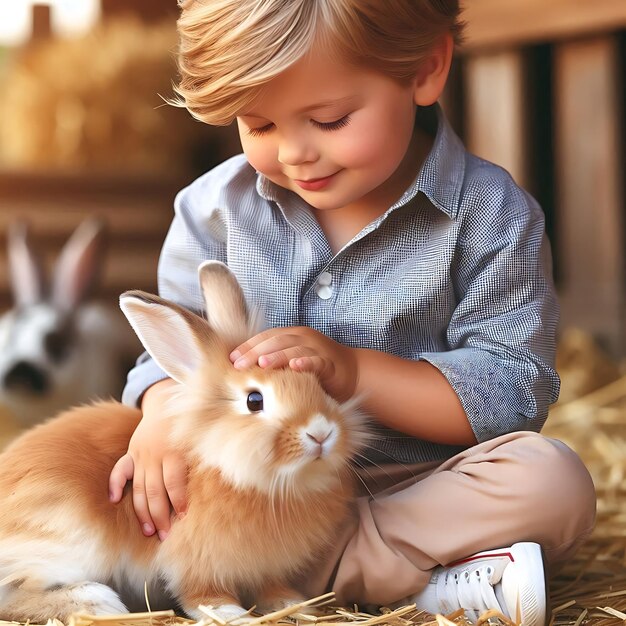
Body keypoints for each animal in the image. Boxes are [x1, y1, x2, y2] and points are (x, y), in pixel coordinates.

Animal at [0, 258, 366, 620]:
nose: (321, 431)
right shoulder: (195, 560)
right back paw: (99, 603)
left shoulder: (266, 568)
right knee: (16, 593)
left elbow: (270, 588)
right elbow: (204, 596)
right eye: (254, 400)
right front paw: (235, 615)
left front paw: (293, 605)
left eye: (321, 387)